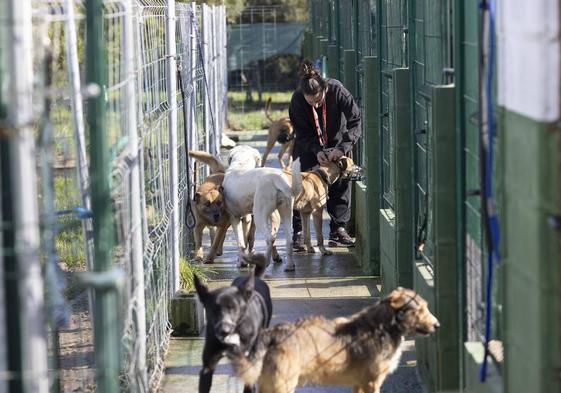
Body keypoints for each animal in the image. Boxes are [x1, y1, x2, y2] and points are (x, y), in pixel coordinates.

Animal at [192, 253, 272, 392]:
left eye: (234, 308)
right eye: (213, 309)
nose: (224, 331)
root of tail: (255, 278)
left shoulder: (248, 364)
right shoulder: (208, 366)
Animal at [231, 284, 438, 392]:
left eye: (426, 307)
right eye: (419, 310)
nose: (438, 325)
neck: (385, 326)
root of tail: (271, 334)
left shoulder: (359, 384)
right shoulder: (372, 382)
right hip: (283, 385)